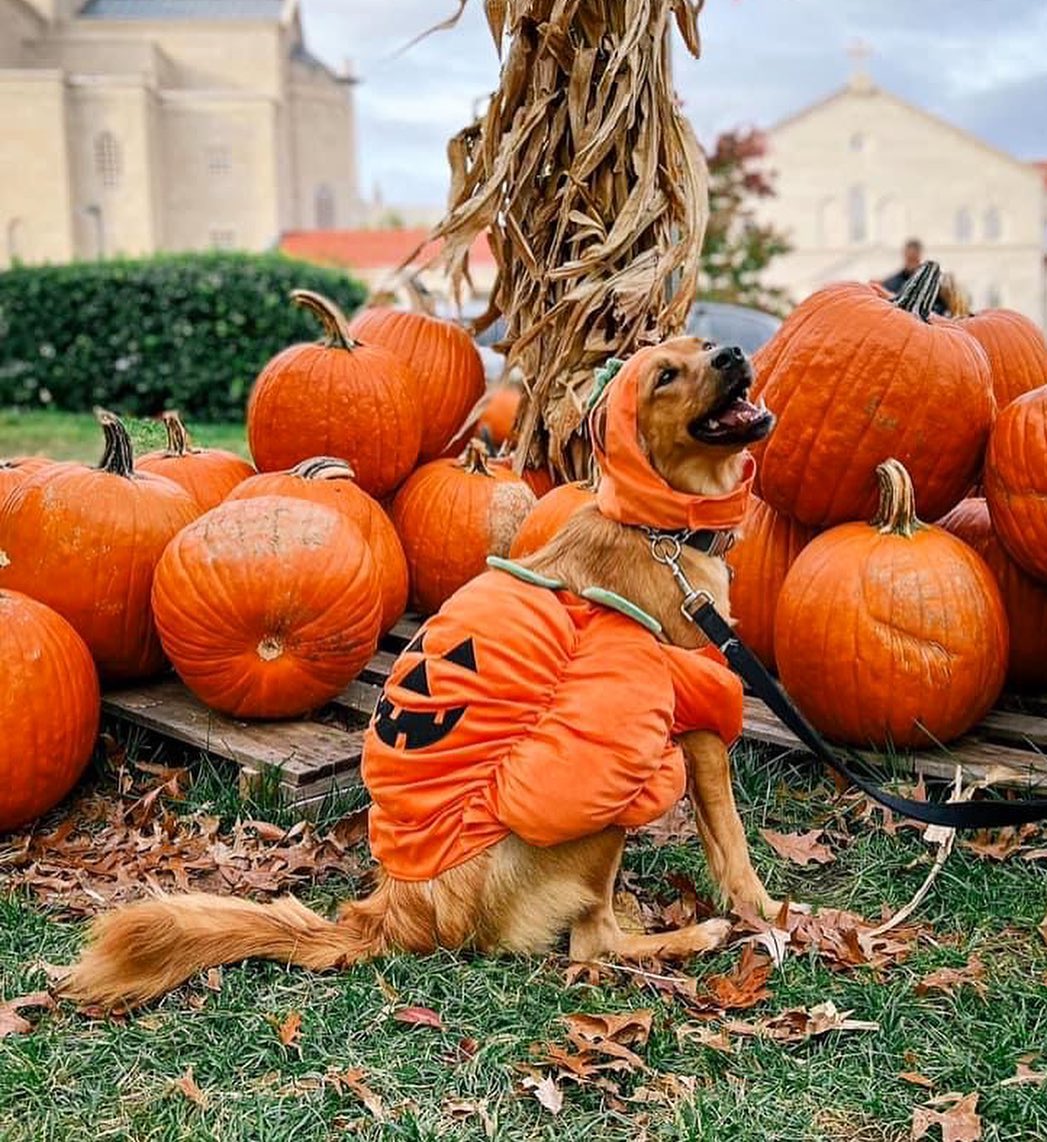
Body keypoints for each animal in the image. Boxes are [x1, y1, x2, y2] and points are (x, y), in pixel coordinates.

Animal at [57, 335, 776, 1009]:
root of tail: (391, 914)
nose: (731, 352)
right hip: (596, 797)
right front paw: (763, 912)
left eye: (698, 347)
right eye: (664, 375)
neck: (657, 530)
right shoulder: (699, 717)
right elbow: (731, 838)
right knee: (591, 945)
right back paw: (689, 936)